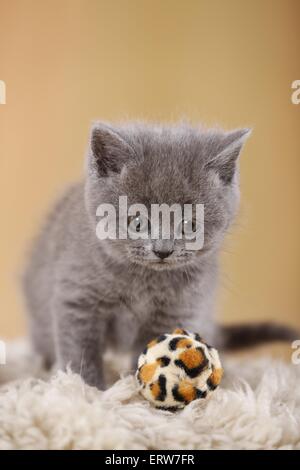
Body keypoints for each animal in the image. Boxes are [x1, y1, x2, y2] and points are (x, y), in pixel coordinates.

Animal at [22, 122, 296, 390]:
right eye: (137, 221)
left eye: (190, 224)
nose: (163, 249)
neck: (144, 281)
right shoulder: (78, 297)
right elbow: (79, 350)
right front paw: (85, 389)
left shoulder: (175, 311)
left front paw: (139, 392)